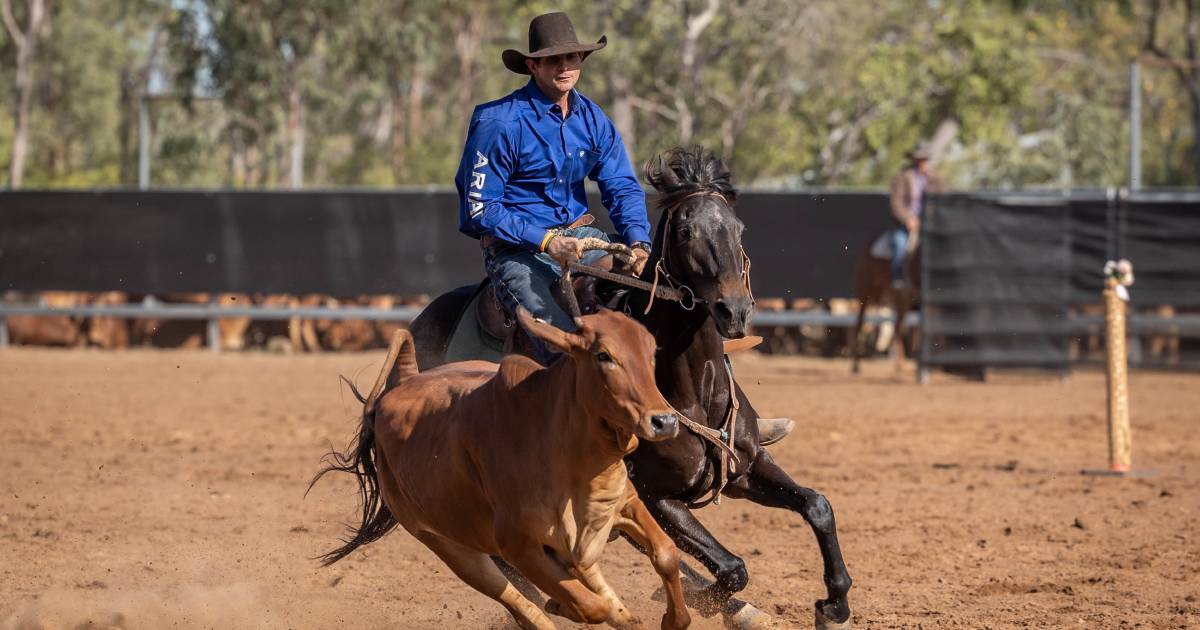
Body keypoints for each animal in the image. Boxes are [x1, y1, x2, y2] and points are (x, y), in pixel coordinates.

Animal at [410, 146, 854, 624]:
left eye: (738, 228)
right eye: (685, 230)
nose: (734, 310)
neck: (690, 390)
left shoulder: (745, 468)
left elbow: (817, 506)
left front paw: (835, 603)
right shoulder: (656, 496)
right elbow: (732, 567)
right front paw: (699, 600)